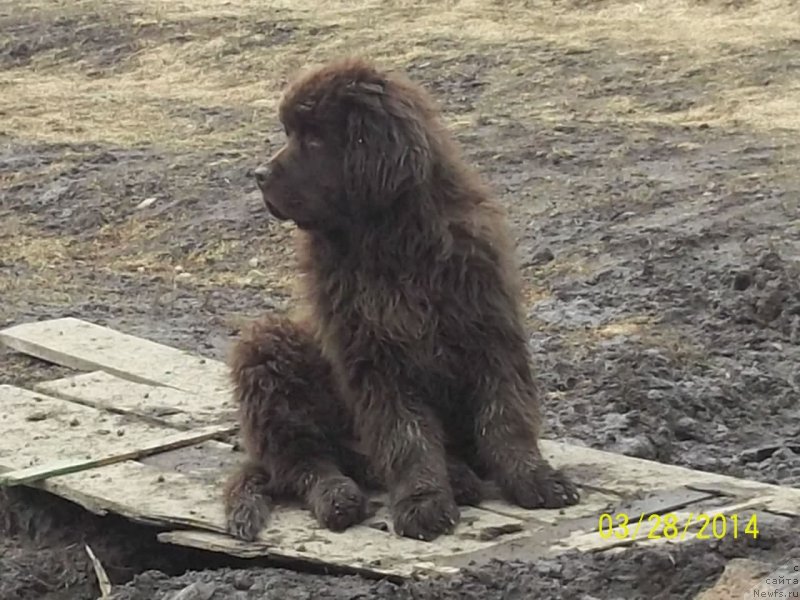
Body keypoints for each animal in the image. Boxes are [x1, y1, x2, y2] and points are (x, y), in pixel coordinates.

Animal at [222, 57, 580, 544]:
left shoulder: (489, 328)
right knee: (304, 460)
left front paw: (536, 479)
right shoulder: (373, 355)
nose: (258, 175)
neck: (392, 243)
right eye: (290, 134)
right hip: (266, 348)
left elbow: (505, 415)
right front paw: (423, 501)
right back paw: (342, 497)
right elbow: (405, 434)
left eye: (313, 139)